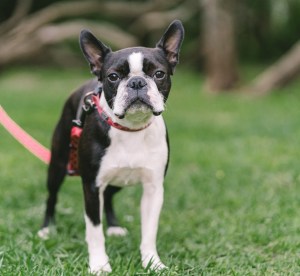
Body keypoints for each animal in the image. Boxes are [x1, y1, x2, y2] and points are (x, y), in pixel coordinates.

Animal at [38, 20, 184, 274]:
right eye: (113, 77)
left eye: (159, 74)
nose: (137, 82)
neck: (131, 129)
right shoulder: (92, 186)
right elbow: (94, 231)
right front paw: (99, 264)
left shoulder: (153, 188)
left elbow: (149, 231)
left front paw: (152, 262)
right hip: (58, 164)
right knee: (52, 196)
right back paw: (47, 229)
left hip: (117, 180)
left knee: (110, 197)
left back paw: (114, 227)